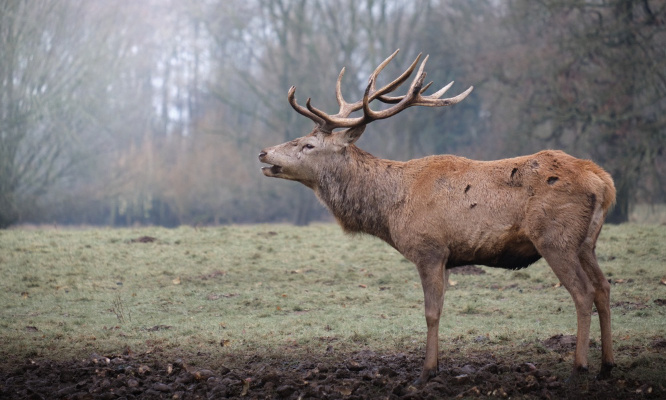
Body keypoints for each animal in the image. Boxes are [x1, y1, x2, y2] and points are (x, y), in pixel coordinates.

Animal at [258, 50, 616, 385]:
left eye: (308, 144)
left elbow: (431, 311)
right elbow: (441, 309)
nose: (263, 153)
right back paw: (607, 366)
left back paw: (579, 368)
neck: (391, 209)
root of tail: (603, 181)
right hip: (587, 242)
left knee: (583, 292)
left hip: (556, 238)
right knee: (603, 287)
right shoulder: (446, 257)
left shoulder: (429, 248)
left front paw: (426, 372)